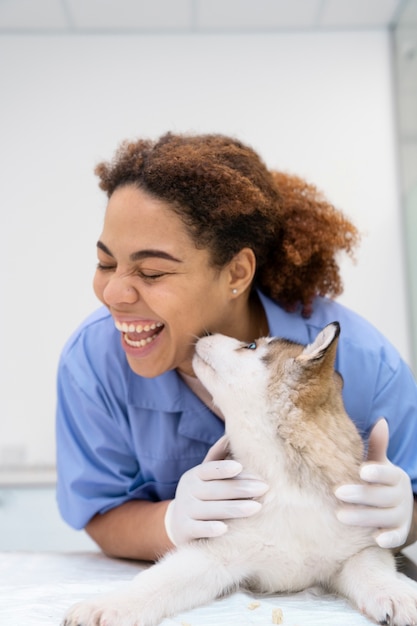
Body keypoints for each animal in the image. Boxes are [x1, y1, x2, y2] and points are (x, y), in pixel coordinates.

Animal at [61, 322, 416, 624]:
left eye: (250, 345)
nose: (206, 332)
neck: (281, 479)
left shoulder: (359, 546)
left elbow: (375, 570)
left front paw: (399, 595)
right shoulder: (217, 554)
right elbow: (159, 580)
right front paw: (107, 606)